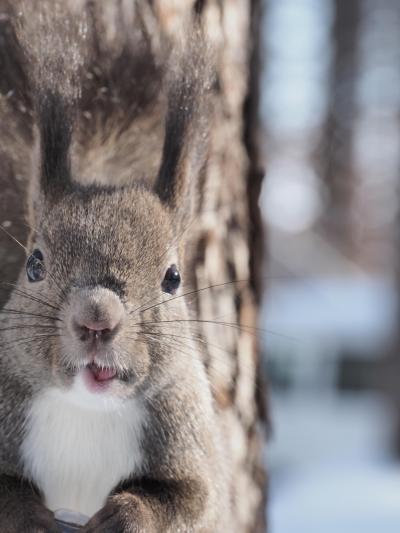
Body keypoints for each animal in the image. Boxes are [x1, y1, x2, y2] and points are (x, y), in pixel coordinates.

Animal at [0, 2, 231, 528]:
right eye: (35, 265)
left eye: (173, 278)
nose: (96, 320)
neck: (88, 411)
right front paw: (32, 518)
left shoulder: (194, 454)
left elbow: (191, 502)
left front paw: (126, 516)